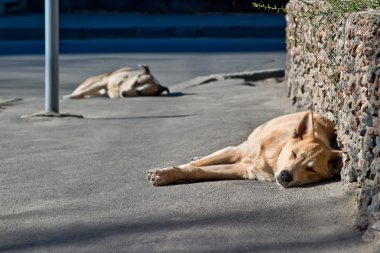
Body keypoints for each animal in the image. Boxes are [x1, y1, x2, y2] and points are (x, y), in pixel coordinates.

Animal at [147, 112, 342, 188]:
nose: (285, 176)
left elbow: (198, 170)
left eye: (311, 169)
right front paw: (165, 172)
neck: (273, 158)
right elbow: (194, 165)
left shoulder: (240, 169)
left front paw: (167, 174)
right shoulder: (236, 152)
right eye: (293, 154)